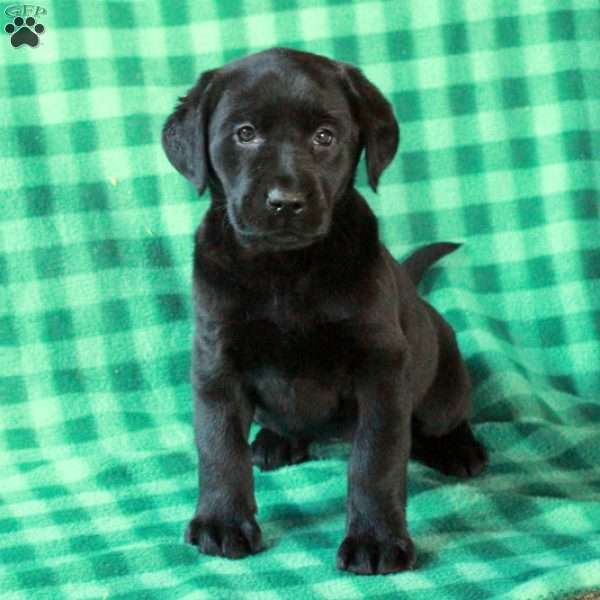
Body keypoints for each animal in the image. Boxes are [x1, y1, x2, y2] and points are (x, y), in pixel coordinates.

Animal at [163, 45, 488, 572]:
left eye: (324, 137)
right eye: (245, 133)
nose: (285, 202)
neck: (286, 269)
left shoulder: (381, 368)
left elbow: (375, 460)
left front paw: (375, 540)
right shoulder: (216, 360)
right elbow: (218, 447)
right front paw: (222, 522)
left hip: (443, 383)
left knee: (446, 416)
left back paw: (459, 449)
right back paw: (276, 441)